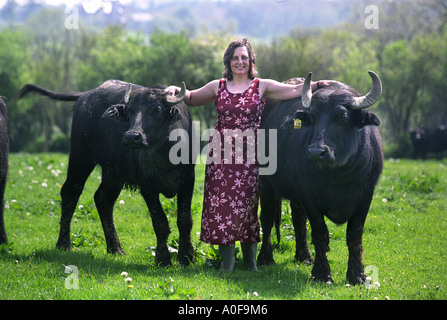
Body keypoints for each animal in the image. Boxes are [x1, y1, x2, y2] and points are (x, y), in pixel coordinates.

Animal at [18, 81, 196, 266]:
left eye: (157, 109)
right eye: (130, 111)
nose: (132, 137)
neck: (164, 153)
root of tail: (85, 95)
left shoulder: (188, 180)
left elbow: (185, 220)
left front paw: (186, 257)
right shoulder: (147, 186)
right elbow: (159, 221)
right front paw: (163, 258)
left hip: (113, 172)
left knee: (103, 198)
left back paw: (115, 248)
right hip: (81, 157)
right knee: (71, 192)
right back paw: (64, 244)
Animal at [258, 71, 384, 284]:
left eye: (342, 117)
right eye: (312, 118)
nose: (316, 152)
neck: (339, 177)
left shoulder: (366, 197)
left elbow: (354, 236)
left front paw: (357, 275)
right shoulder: (310, 197)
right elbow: (320, 234)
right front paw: (322, 273)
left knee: (298, 219)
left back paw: (304, 256)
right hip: (264, 182)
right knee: (266, 218)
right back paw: (265, 258)